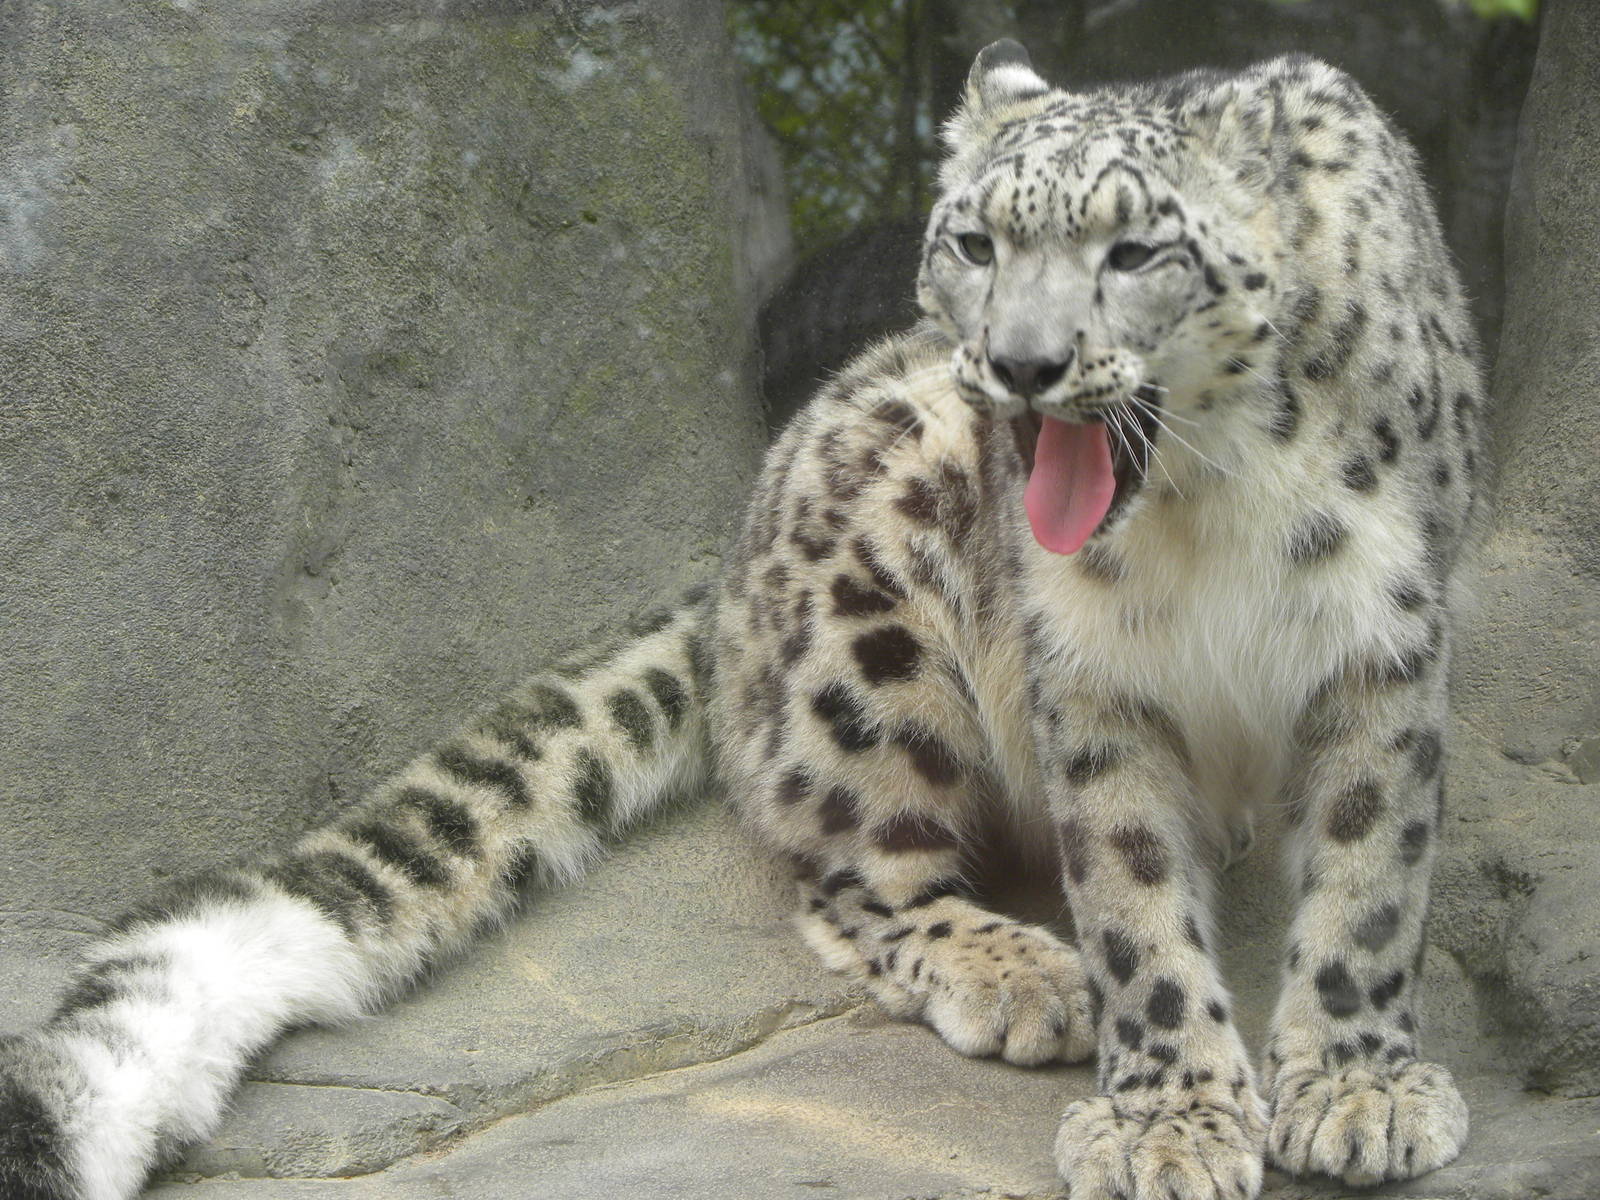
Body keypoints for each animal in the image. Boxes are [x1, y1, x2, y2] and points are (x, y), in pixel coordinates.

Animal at [0, 40, 1483, 1200]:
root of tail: (732, 581)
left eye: (1136, 250)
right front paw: (1166, 1115)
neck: (1205, 508)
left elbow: (1370, 874)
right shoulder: (1091, 674)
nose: (1022, 364)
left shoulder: (1386, 638)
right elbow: (1129, 896)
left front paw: (1356, 1088)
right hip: (874, 606)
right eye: (977, 242)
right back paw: (1020, 971)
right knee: (851, 871)